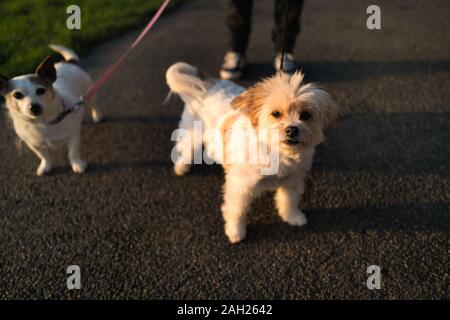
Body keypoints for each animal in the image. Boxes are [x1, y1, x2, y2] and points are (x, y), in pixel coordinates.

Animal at [0, 44, 102, 175]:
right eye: (17, 95)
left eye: (41, 90)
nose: (34, 107)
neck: (43, 123)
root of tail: (67, 62)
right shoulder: (33, 144)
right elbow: (44, 156)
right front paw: (46, 166)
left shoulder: (73, 136)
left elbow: (73, 152)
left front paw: (77, 164)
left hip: (89, 92)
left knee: (94, 105)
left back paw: (97, 116)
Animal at [166, 62, 338, 242]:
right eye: (276, 113)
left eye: (305, 115)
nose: (292, 130)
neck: (276, 151)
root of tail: (208, 84)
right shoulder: (240, 186)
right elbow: (237, 210)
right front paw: (236, 231)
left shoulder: (293, 180)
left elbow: (289, 200)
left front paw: (293, 217)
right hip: (192, 132)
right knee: (186, 150)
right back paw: (182, 168)